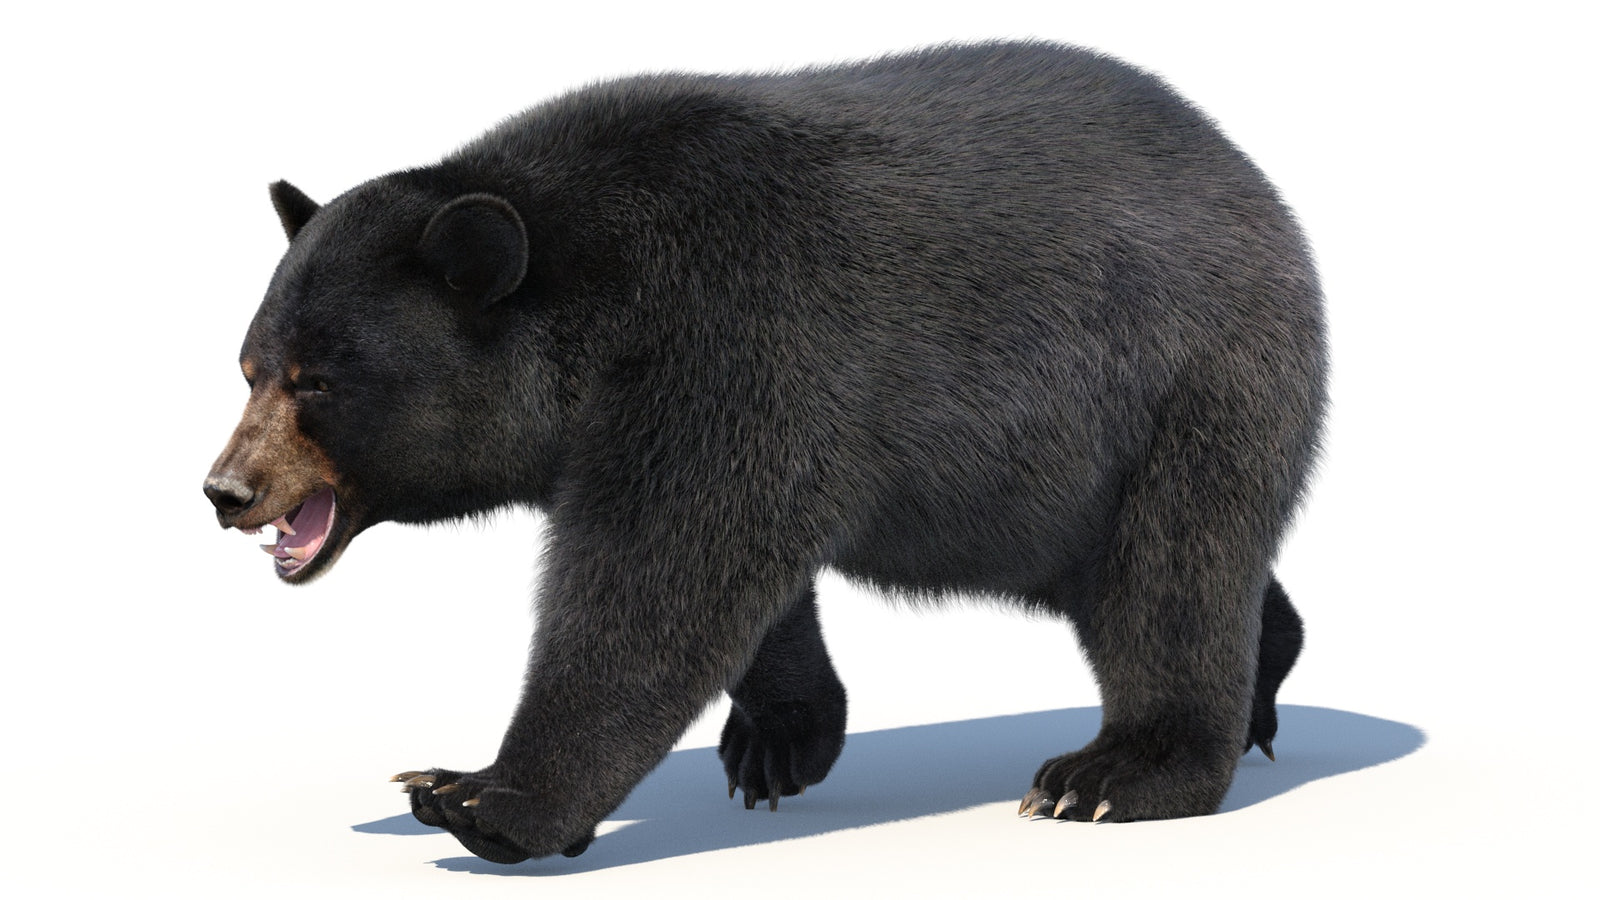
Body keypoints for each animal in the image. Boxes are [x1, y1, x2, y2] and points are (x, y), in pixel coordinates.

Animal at [204, 40, 1325, 864]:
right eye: (248, 366)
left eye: (317, 382)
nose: (225, 489)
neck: (593, 294)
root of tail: (1256, 185)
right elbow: (741, 571)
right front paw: (781, 740)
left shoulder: (733, 332)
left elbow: (663, 575)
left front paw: (478, 794)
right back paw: (1265, 677)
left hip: (1181, 387)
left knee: (1170, 573)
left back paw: (1115, 775)